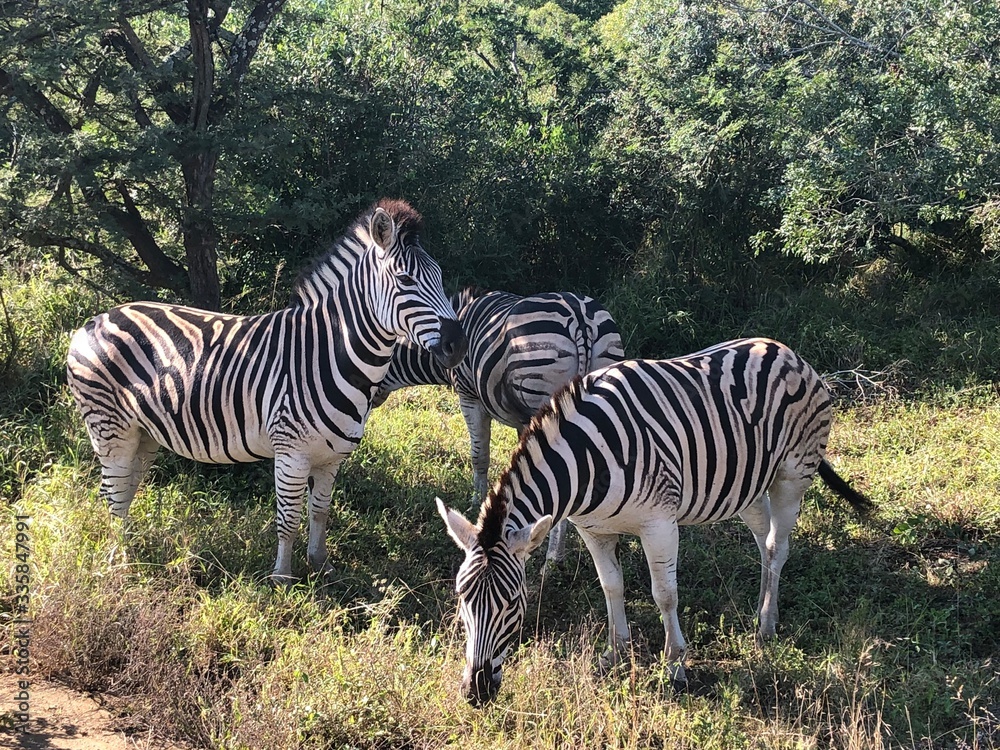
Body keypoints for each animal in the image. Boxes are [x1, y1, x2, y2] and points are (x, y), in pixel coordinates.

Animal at [67, 199, 468, 583]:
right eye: (405, 280)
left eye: (440, 276)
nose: (458, 346)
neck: (329, 352)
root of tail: (94, 320)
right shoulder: (291, 452)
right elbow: (288, 521)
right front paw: (283, 579)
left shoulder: (332, 457)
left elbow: (320, 512)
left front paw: (322, 567)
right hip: (110, 429)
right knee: (114, 495)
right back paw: (121, 563)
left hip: (144, 433)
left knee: (126, 491)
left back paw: (131, 549)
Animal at [373, 288, 626, 563]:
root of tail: (578, 315)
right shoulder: (522, 420)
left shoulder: (469, 396)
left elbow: (480, 456)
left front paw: (476, 504)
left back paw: (553, 556)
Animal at [436, 337, 872, 705]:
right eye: (460, 597)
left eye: (513, 602)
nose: (475, 693)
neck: (586, 462)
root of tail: (783, 350)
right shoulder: (591, 529)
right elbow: (611, 586)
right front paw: (614, 653)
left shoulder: (659, 523)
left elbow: (664, 594)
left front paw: (675, 665)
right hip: (746, 483)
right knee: (764, 540)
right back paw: (762, 612)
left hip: (792, 475)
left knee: (778, 547)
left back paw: (766, 627)